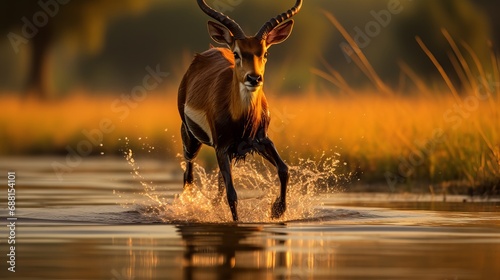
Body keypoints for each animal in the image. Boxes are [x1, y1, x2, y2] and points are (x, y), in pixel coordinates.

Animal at [178, 0, 300, 223]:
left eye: (265, 53)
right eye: (237, 53)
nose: (254, 78)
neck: (242, 119)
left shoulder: (261, 140)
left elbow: (284, 169)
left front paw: (277, 210)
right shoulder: (222, 147)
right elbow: (232, 194)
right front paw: (238, 222)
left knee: (218, 182)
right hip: (190, 138)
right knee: (188, 176)